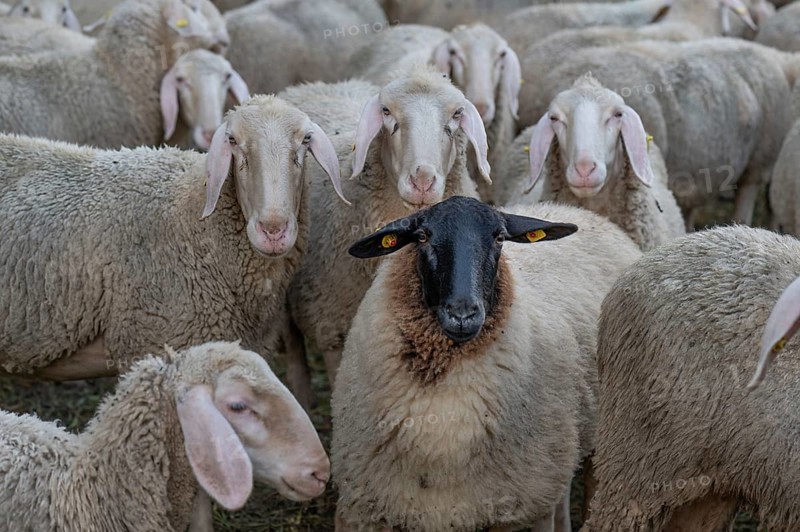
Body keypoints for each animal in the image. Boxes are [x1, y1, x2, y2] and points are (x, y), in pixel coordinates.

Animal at [280, 66, 487, 398]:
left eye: (457, 114)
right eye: (387, 112)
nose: (422, 181)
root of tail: (317, 85)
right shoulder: (333, 325)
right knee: (292, 341)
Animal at [331, 195, 642, 531]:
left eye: (499, 238)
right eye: (422, 236)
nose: (463, 314)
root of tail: (574, 209)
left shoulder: (523, 505)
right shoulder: (365, 508)